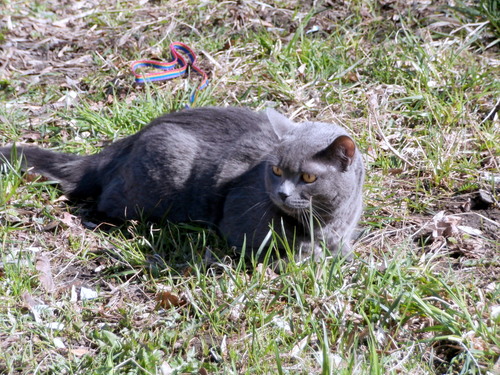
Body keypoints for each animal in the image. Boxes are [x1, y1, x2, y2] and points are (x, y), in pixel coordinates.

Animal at [1, 107, 366, 262]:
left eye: (308, 177)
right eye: (275, 170)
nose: (281, 193)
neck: (324, 220)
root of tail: (118, 147)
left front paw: (340, 253)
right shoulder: (240, 221)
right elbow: (282, 243)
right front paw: (310, 254)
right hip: (160, 170)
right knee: (105, 202)